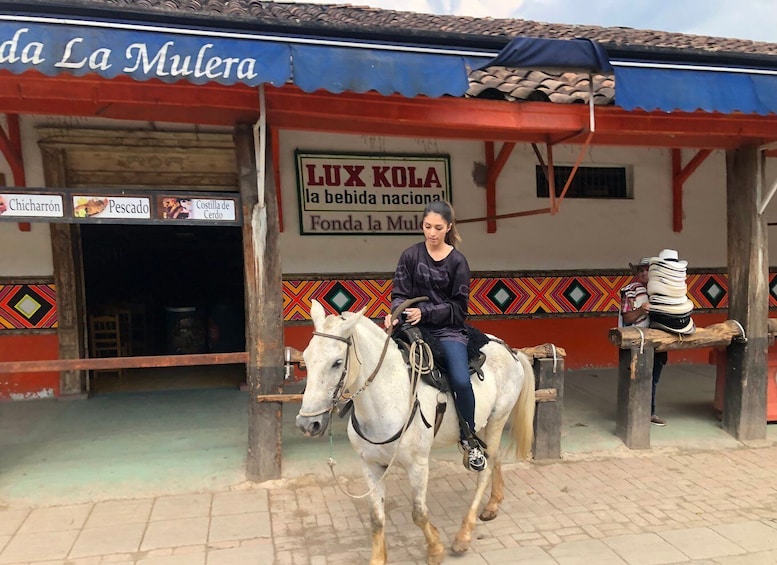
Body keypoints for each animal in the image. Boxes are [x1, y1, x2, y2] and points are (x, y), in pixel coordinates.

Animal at [294, 298, 536, 560]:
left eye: (337, 362)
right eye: (306, 358)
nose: (307, 424)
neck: (387, 399)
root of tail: (511, 351)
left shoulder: (418, 465)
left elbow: (418, 513)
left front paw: (436, 549)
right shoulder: (370, 464)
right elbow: (376, 518)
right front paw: (378, 557)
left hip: (498, 418)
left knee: (486, 468)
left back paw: (463, 535)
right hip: (483, 424)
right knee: (495, 457)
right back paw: (492, 505)